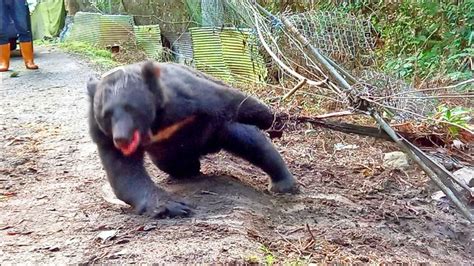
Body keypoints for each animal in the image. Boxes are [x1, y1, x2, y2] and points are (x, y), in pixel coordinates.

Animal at [87, 60, 296, 218]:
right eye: (106, 115)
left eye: (131, 108)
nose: (121, 139)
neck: (155, 125)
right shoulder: (101, 134)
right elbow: (125, 173)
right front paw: (175, 207)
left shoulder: (186, 97)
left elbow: (231, 101)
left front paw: (275, 123)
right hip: (168, 156)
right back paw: (190, 170)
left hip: (217, 130)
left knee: (250, 141)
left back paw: (283, 184)